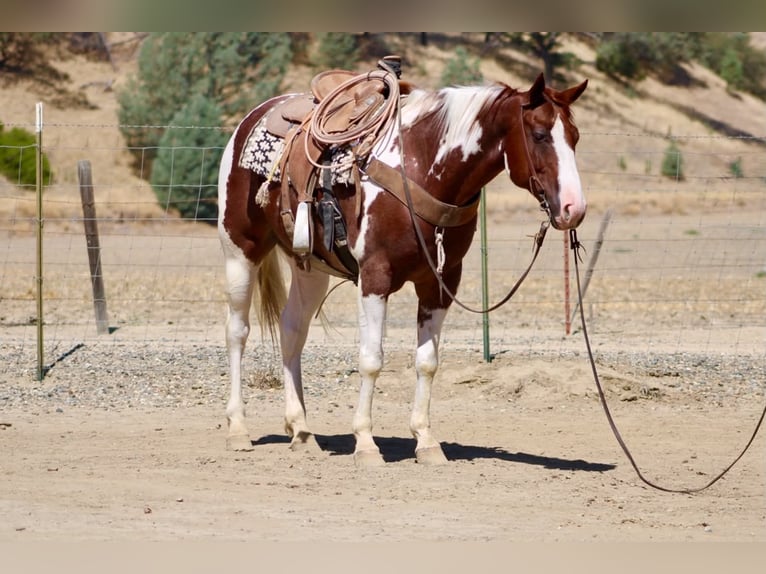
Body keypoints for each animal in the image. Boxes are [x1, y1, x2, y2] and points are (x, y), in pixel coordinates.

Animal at [217, 69, 588, 466]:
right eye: (540, 134)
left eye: (575, 137)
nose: (574, 208)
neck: (421, 167)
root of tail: (254, 115)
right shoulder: (375, 277)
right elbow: (371, 359)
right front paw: (365, 443)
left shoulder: (441, 281)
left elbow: (427, 361)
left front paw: (425, 440)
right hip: (240, 250)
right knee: (237, 331)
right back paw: (238, 428)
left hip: (310, 267)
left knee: (292, 329)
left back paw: (301, 430)